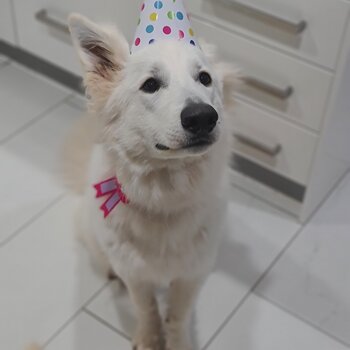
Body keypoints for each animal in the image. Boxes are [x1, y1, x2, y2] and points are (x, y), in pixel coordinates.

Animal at [64, 13, 237, 350]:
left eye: (204, 79)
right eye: (151, 85)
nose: (203, 117)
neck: (165, 194)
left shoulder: (193, 272)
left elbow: (178, 315)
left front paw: (177, 342)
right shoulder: (135, 272)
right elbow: (146, 308)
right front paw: (148, 338)